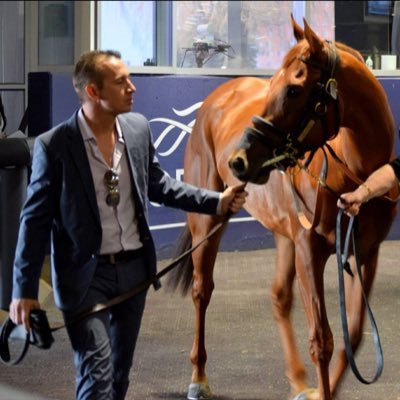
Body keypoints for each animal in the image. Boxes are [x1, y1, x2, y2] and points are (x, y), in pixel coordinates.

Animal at [168, 16, 396, 400]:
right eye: (273, 83)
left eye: (293, 90)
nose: (239, 161)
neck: (356, 171)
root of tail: (219, 97)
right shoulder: (309, 250)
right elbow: (322, 341)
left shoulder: (366, 253)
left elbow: (353, 333)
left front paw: (318, 389)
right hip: (208, 220)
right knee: (202, 291)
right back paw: (198, 378)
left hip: (283, 233)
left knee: (279, 297)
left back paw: (300, 382)